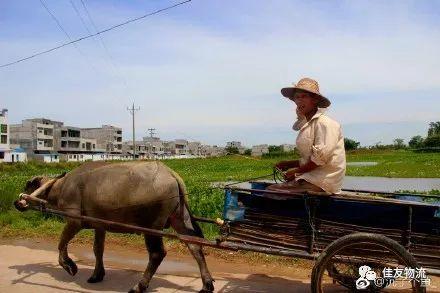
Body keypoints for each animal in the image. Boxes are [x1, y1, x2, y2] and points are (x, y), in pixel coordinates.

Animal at [16, 161, 216, 290]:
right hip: (180, 218)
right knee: (194, 246)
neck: (61, 186)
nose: (17, 203)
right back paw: (207, 283)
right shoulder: (100, 226)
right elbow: (98, 249)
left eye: (28, 186)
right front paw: (97, 274)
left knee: (157, 254)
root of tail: (172, 174)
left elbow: (62, 242)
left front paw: (69, 265)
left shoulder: (73, 221)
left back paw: (140, 286)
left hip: (152, 227)